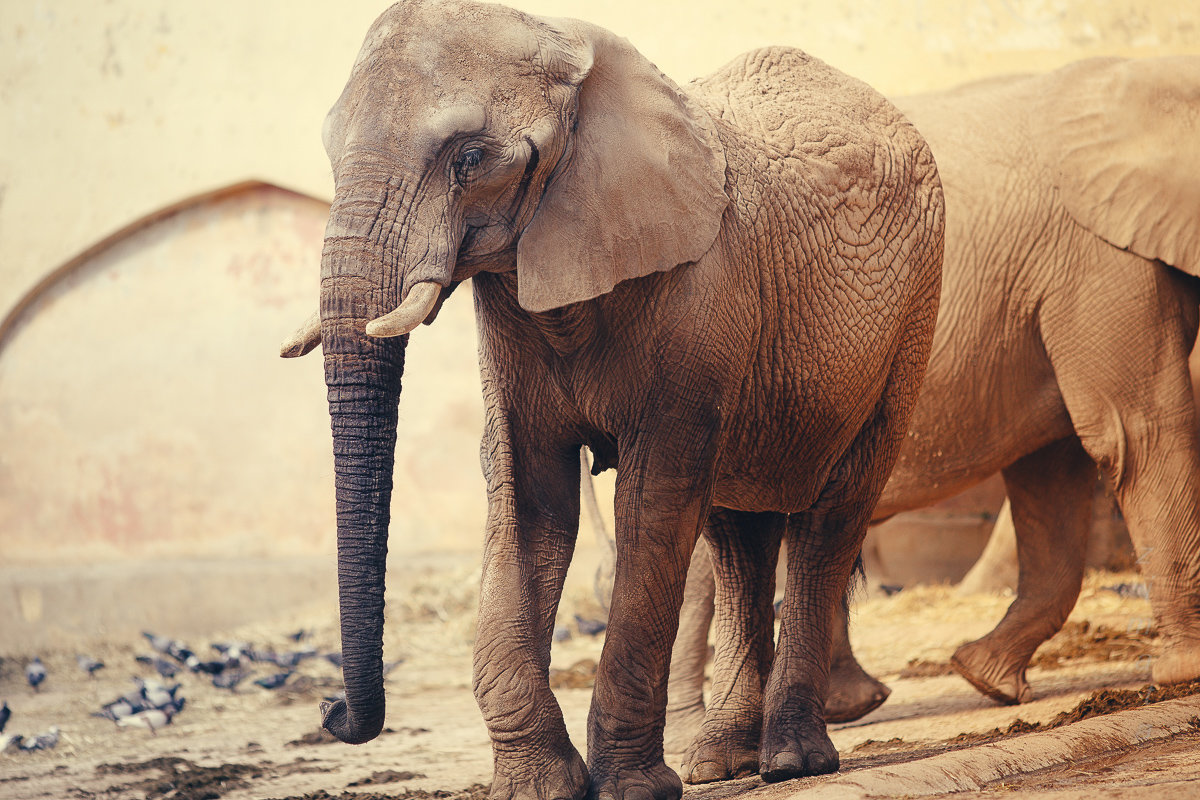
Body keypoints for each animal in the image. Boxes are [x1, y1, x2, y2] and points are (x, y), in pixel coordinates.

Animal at [279, 1, 944, 797]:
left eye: (469, 159)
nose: (330, 712)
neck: (565, 47)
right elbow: (527, 498)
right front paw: (539, 786)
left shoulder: (700, 294)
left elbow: (650, 505)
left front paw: (633, 789)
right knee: (735, 534)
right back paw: (721, 762)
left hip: (912, 318)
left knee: (828, 518)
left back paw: (791, 761)